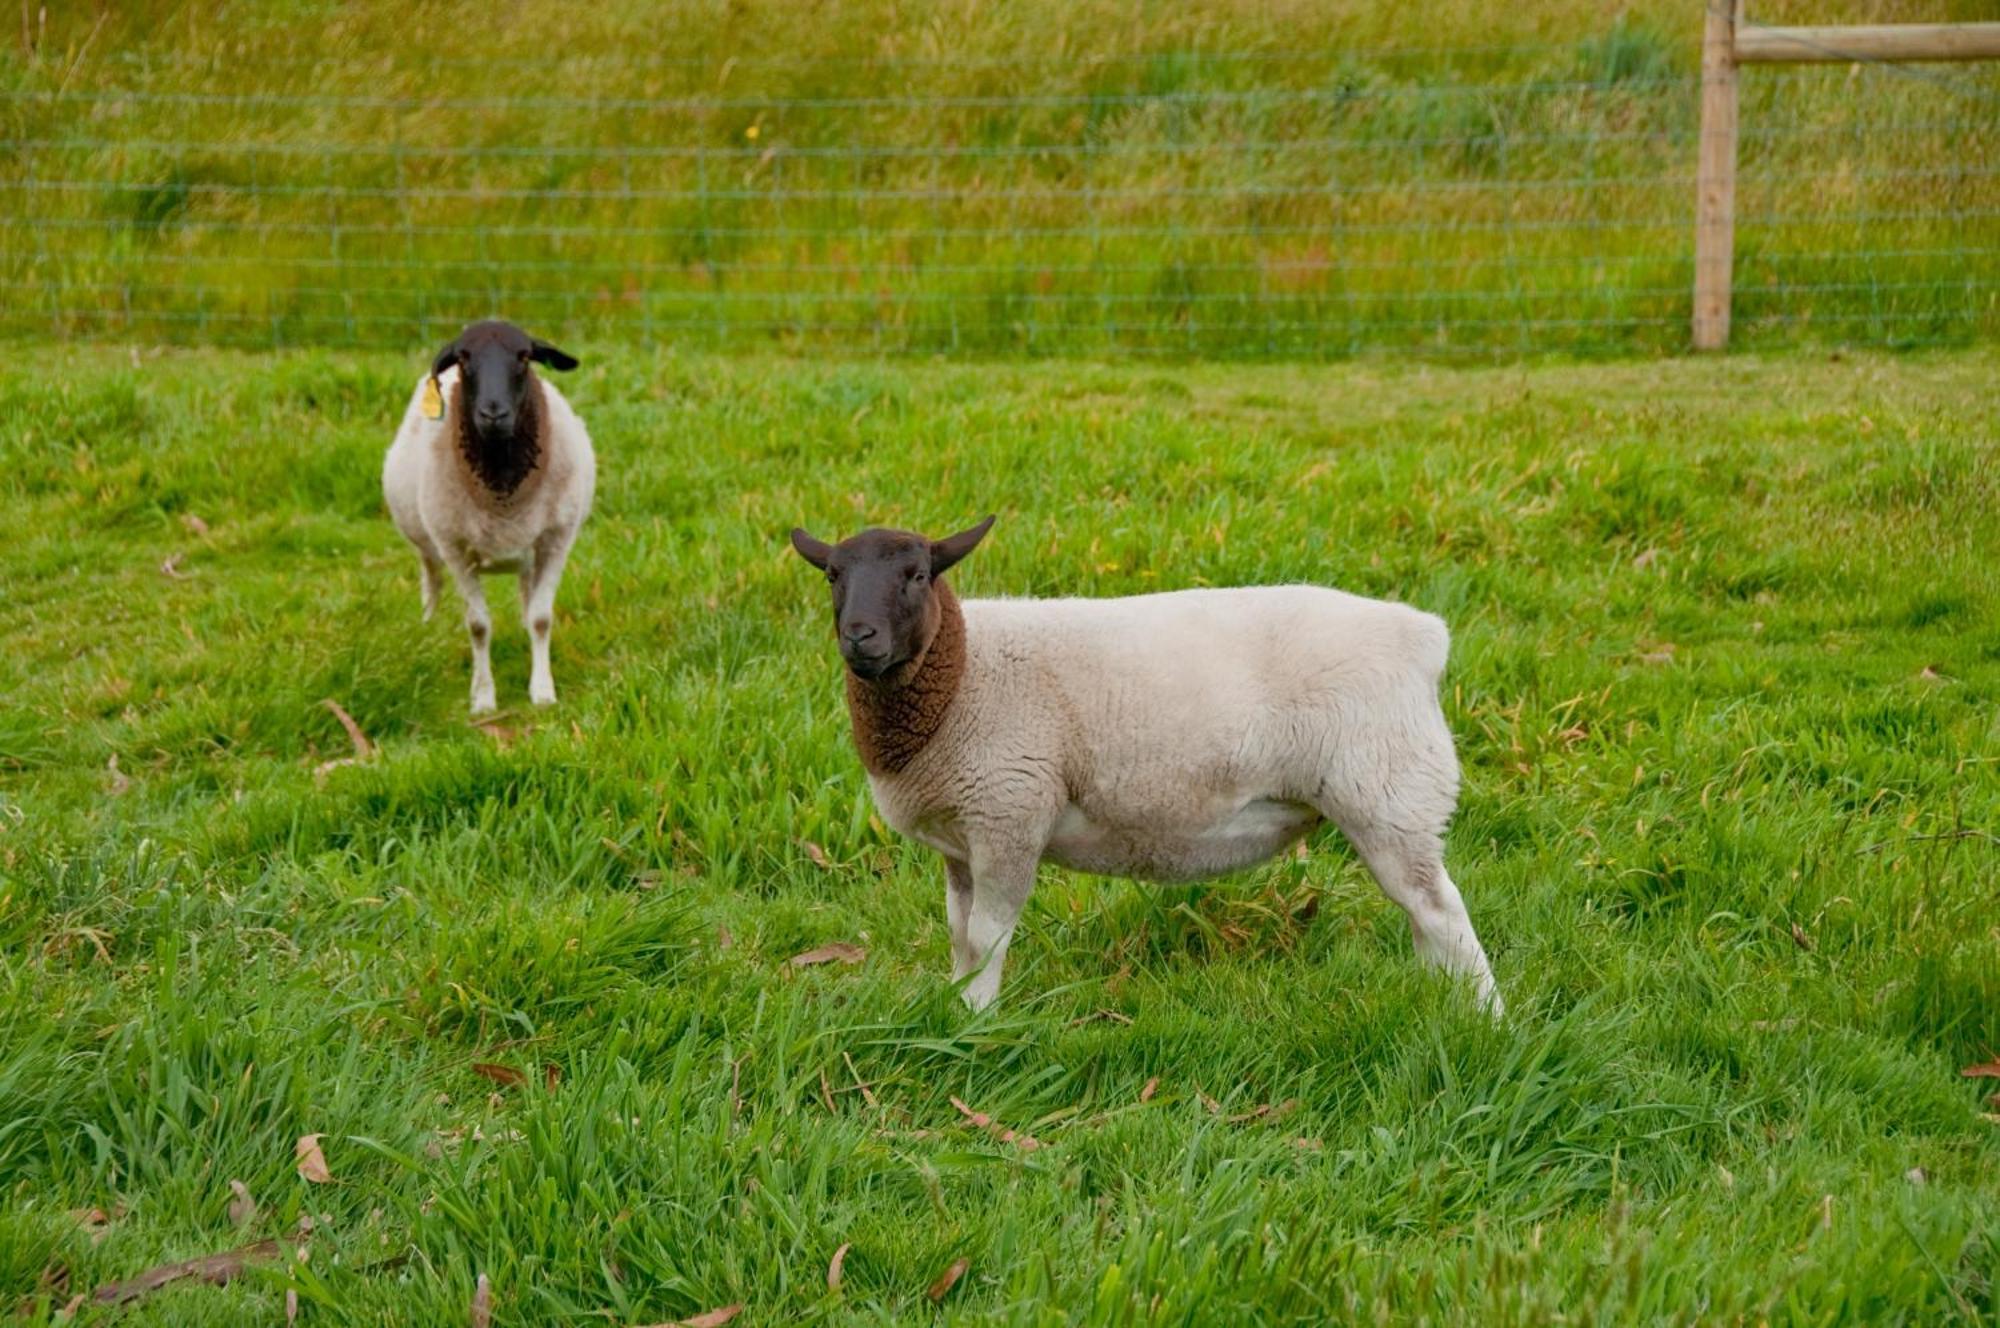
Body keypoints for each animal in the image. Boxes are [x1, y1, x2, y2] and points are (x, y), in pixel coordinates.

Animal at [376, 322, 588, 716]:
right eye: (463, 357)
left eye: (524, 356)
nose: (493, 414)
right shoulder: (456, 550)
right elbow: (478, 626)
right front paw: (484, 699)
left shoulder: (556, 540)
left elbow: (540, 618)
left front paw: (543, 691)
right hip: (426, 542)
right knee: (431, 581)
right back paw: (427, 629)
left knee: (527, 595)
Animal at [784, 512, 1504, 1012]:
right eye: (832, 576)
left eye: (917, 576)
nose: (860, 637)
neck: (965, 676)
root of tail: (1423, 637)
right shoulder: (963, 836)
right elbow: (960, 933)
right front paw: (955, 1005)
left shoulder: (1010, 810)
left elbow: (988, 934)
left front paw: (977, 1020)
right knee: (1423, 919)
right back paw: (1439, 1003)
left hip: (1389, 791)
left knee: (1443, 913)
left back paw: (1482, 1019)